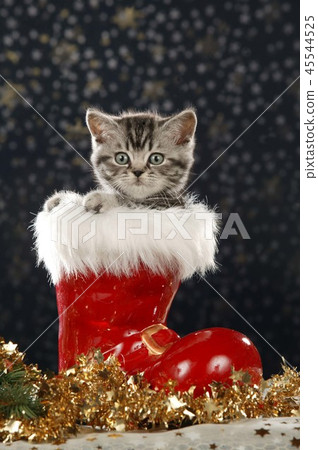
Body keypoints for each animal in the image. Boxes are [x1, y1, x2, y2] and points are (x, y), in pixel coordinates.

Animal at [42, 108, 196, 212]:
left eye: (156, 158)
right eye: (121, 158)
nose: (138, 172)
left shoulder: (174, 205)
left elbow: (133, 203)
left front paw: (102, 198)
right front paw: (61, 200)